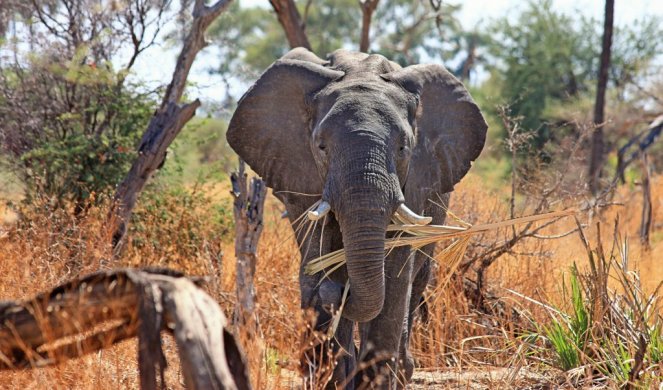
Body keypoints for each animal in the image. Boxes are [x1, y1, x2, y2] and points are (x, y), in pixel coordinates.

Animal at [227, 47, 488, 388]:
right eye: (321, 147)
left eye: (403, 148)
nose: (338, 292)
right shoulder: (303, 177)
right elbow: (318, 253)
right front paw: (331, 375)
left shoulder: (416, 180)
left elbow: (395, 274)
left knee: (417, 281)